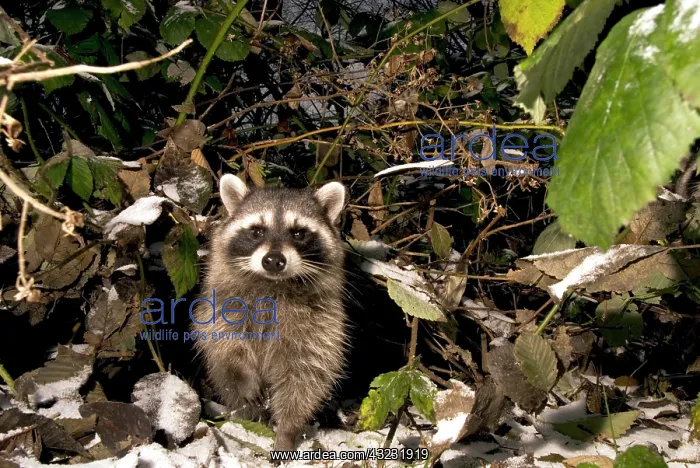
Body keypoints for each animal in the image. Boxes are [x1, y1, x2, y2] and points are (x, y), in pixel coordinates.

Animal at [192, 174, 348, 452]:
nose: (274, 260)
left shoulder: (320, 325)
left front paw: (287, 429)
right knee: (230, 385)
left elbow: (306, 374)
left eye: (298, 233)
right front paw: (243, 373)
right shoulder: (221, 303)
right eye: (257, 231)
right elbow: (225, 343)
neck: (273, 284)